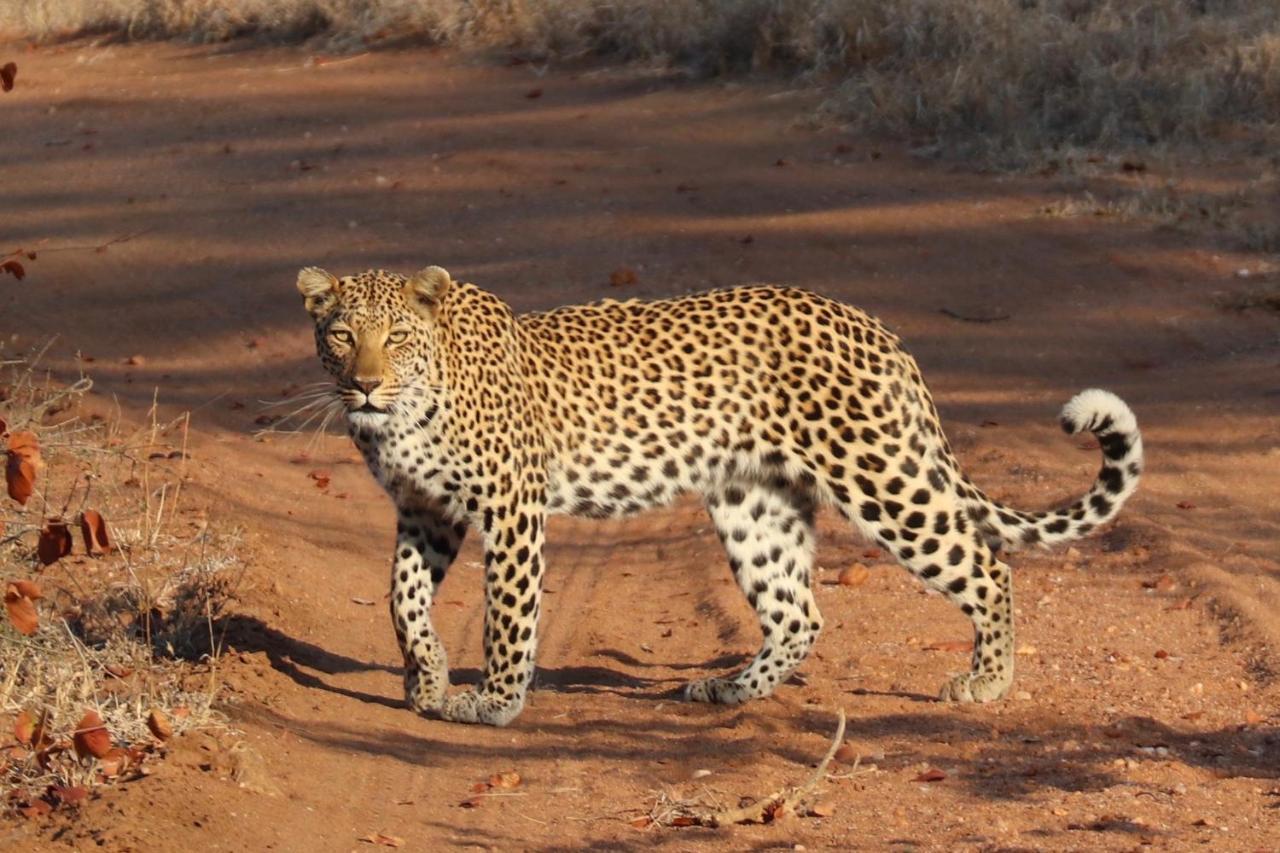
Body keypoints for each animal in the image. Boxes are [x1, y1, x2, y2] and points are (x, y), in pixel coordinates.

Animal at [296, 266, 1141, 722]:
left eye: (396, 337)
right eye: (341, 335)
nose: (363, 386)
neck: (410, 407)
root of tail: (874, 326)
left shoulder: (510, 506)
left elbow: (508, 612)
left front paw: (493, 700)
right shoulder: (425, 512)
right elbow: (402, 597)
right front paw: (427, 676)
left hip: (879, 475)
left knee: (986, 565)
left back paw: (987, 681)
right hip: (754, 503)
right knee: (799, 612)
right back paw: (731, 690)